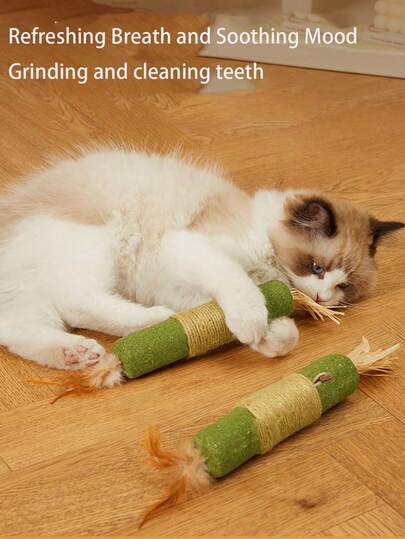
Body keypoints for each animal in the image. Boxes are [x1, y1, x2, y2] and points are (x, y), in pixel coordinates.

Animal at [0, 148, 402, 385]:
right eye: (316, 267)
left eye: (343, 285)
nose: (323, 297)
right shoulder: (191, 249)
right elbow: (239, 288)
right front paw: (255, 324)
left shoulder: (185, 289)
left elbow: (275, 333)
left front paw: (271, 336)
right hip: (98, 242)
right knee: (77, 301)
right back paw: (153, 319)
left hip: (32, 299)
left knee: (20, 330)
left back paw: (77, 354)